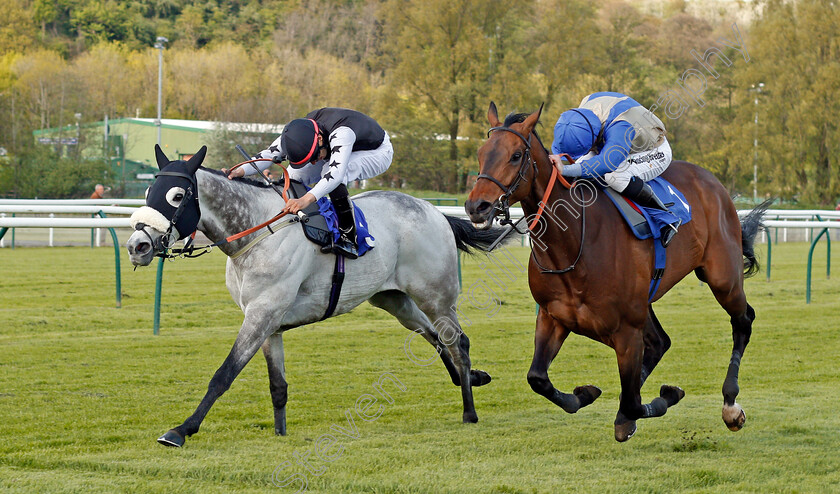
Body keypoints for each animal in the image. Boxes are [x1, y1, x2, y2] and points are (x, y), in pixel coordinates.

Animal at [124, 147, 498, 448]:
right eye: (148, 191)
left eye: (176, 196)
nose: (136, 246)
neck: (258, 232)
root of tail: (436, 213)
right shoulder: (268, 324)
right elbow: (277, 385)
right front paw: (280, 432)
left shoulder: (262, 315)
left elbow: (224, 373)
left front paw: (181, 430)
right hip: (394, 299)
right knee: (435, 336)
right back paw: (472, 377)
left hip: (435, 296)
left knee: (457, 342)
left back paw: (469, 411)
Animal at [466, 103, 768, 440]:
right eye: (481, 153)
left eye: (516, 155)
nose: (476, 206)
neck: (573, 244)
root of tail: (712, 182)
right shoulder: (553, 316)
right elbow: (538, 378)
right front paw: (585, 394)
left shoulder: (626, 330)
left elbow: (634, 402)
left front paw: (664, 397)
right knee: (660, 343)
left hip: (722, 277)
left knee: (742, 321)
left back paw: (730, 405)